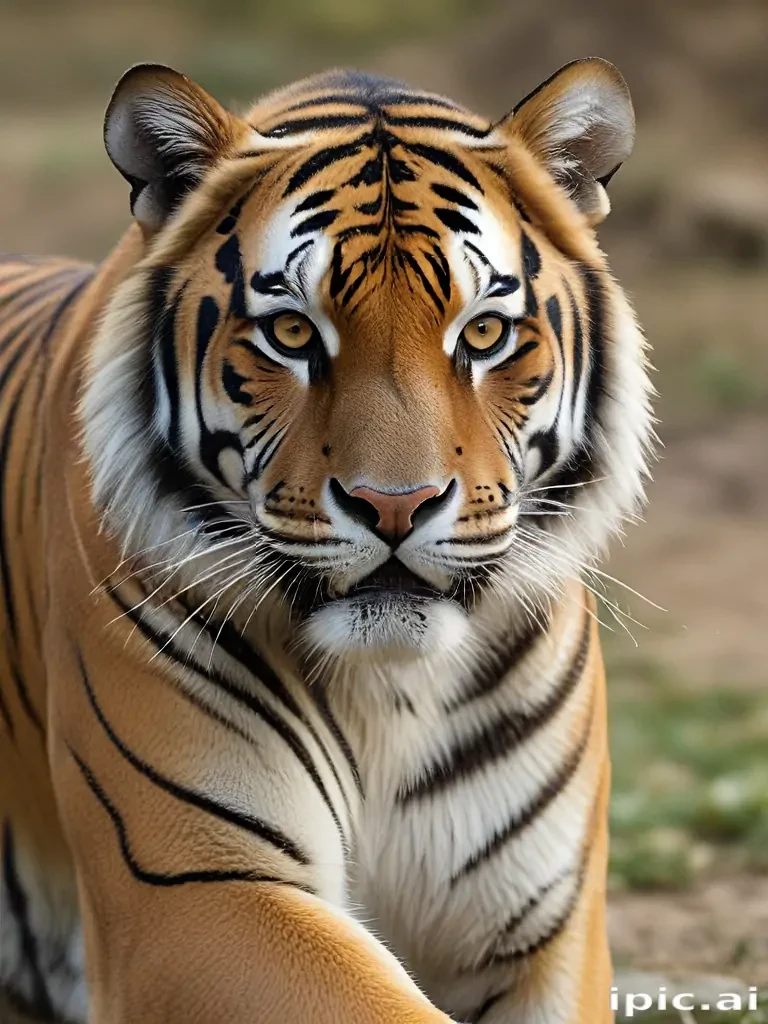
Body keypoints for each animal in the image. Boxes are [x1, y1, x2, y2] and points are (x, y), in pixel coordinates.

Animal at [0, 56, 652, 1024]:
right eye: (291, 331)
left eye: (483, 333)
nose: (396, 506)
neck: (391, 695)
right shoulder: (193, 890)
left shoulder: (547, 925)